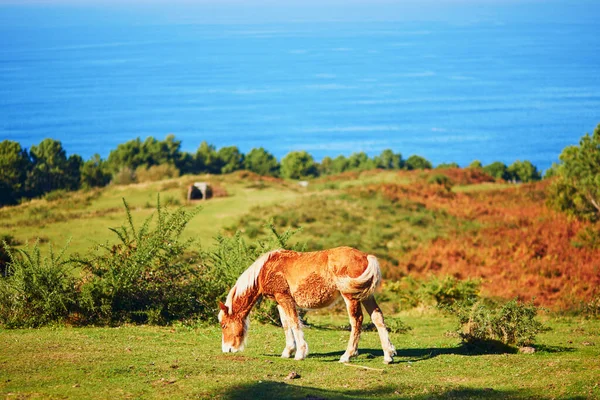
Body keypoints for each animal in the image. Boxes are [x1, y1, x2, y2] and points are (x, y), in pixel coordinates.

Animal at [218, 245, 396, 364]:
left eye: (224, 325)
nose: (227, 349)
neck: (267, 268)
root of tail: (365, 256)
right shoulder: (279, 301)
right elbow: (286, 325)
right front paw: (288, 351)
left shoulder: (285, 298)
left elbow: (294, 323)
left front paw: (300, 353)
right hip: (366, 295)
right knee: (378, 317)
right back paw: (388, 355)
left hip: (350, 297)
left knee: (356, 321)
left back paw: (347, 355)